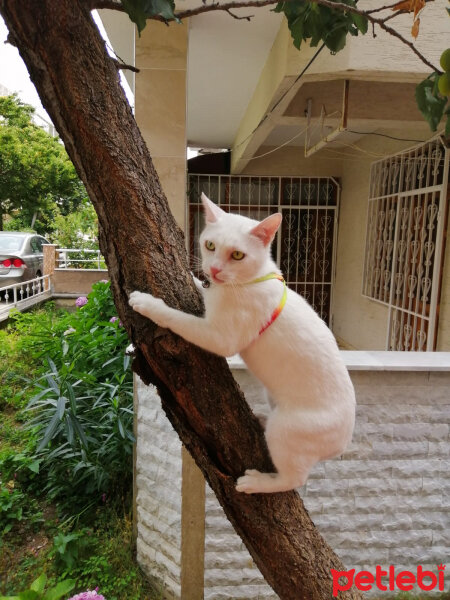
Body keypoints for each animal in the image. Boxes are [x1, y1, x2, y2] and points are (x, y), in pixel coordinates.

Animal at [129, 195, 356, 494]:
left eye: (237, 255)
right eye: (210, 245)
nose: (215, 269)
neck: (247, 281)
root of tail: (343, 443)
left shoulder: (219, 337)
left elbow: (176, 318)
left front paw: (147, 303)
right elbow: (202, 286)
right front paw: (196, 276)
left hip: (287, 432)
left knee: (294, 479)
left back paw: (256, 482)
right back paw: (261, 419)